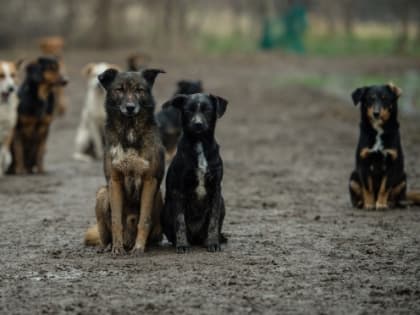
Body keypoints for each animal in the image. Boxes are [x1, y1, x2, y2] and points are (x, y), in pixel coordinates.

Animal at [84, 68, 165, 256]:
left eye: (139, 90)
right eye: (119, 89)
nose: (130, 107)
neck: (130, 130)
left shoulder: (150, 181)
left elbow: (144, 219)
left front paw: (139, 247)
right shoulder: (115, 181)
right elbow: (116, 220)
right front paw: (117, 247)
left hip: (159, 196)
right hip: (102, 193)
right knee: (104, 234)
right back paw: (107, 246)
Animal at [161, 92, 228, 253]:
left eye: (207, 110)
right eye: (188, 111)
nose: (198, 124)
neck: (200, 143)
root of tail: (196, 238)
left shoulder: (216, 190)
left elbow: (213, 221)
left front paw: (213, 243)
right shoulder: (178, 191)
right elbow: (180, 222)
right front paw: (182, 245)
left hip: (222, 203)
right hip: (166, 210)